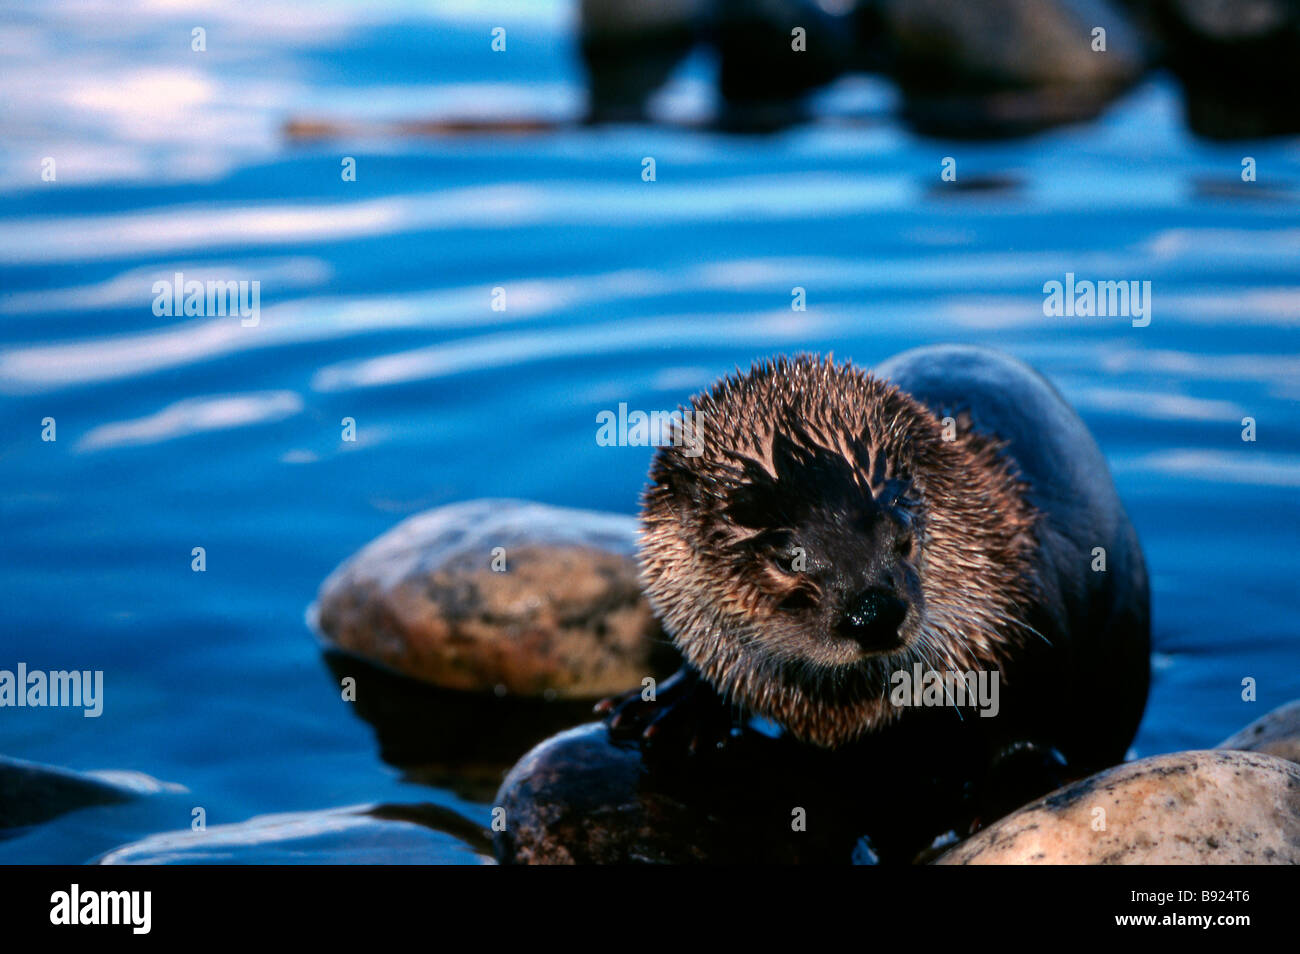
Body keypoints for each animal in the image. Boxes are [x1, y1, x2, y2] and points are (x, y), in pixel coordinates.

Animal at [600, 345, 1150, 855]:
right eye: (786, 558)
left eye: (902, 534)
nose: (875, 612)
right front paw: (671, 707)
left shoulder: (1021, 609)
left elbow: (1027, 712)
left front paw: (1014, 785)